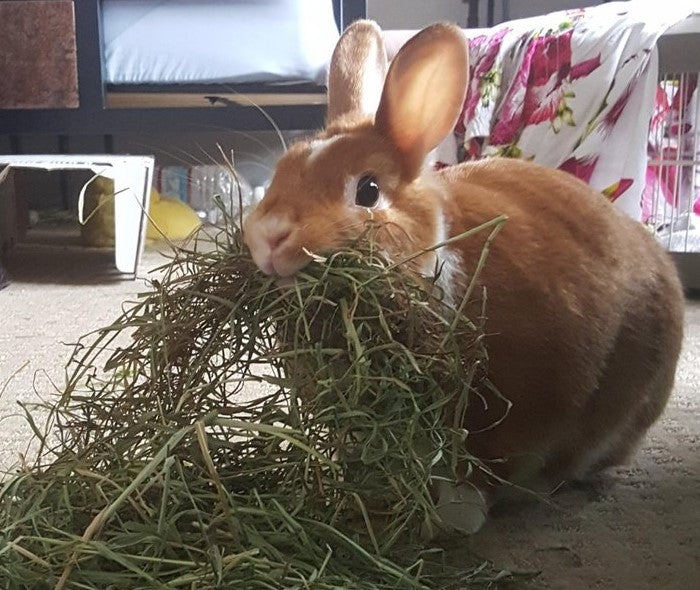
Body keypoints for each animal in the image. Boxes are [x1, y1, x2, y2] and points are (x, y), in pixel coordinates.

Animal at [243, 20, 688, 536]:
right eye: (282, 170)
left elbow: (474, 471)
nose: (269, 236)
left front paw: (453, 522)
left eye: (368, 190)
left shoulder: (503, 414)